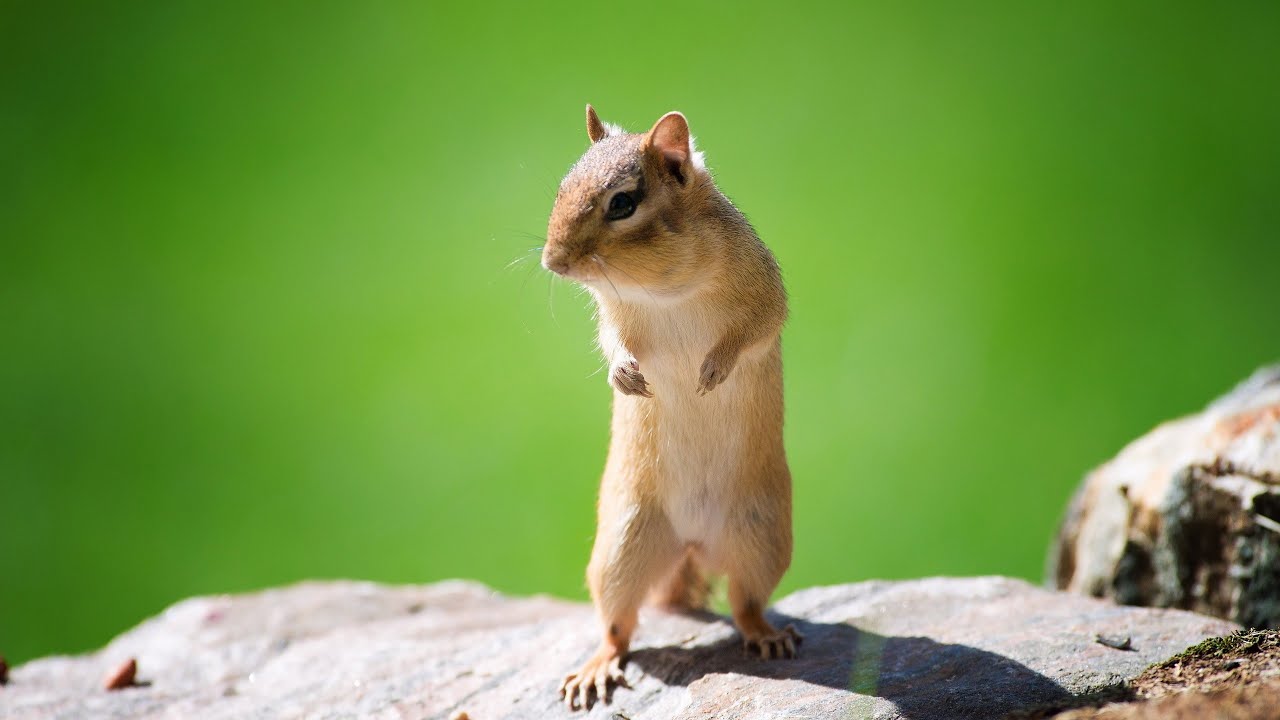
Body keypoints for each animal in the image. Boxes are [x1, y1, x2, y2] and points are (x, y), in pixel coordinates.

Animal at [542, 106, 798, 711]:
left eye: (622, 203)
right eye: (562, 186)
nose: (551, 262)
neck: (662, 289)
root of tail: (694, 544)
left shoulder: (765, 292)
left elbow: (755, 331)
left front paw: (714, 370)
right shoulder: (614, 314)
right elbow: (612, 342)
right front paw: (624, 374)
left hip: (763, 539)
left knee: (745, 603)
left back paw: (767, 635)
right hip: (620, 548)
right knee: (618, 626)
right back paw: (596, 668)